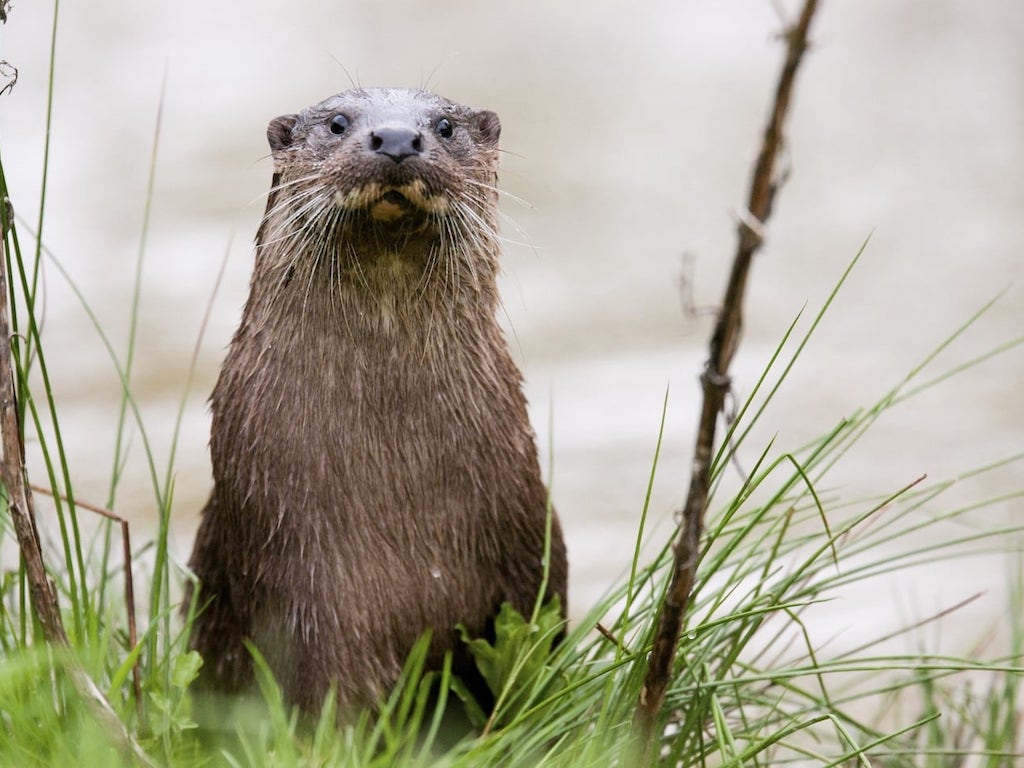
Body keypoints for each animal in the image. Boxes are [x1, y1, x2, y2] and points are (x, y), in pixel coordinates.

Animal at [184, 87, 569, 720]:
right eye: (339, 123)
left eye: (444, 125)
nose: (394, 138)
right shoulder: (304, 574)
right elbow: (327, 688)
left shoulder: (527, 542)